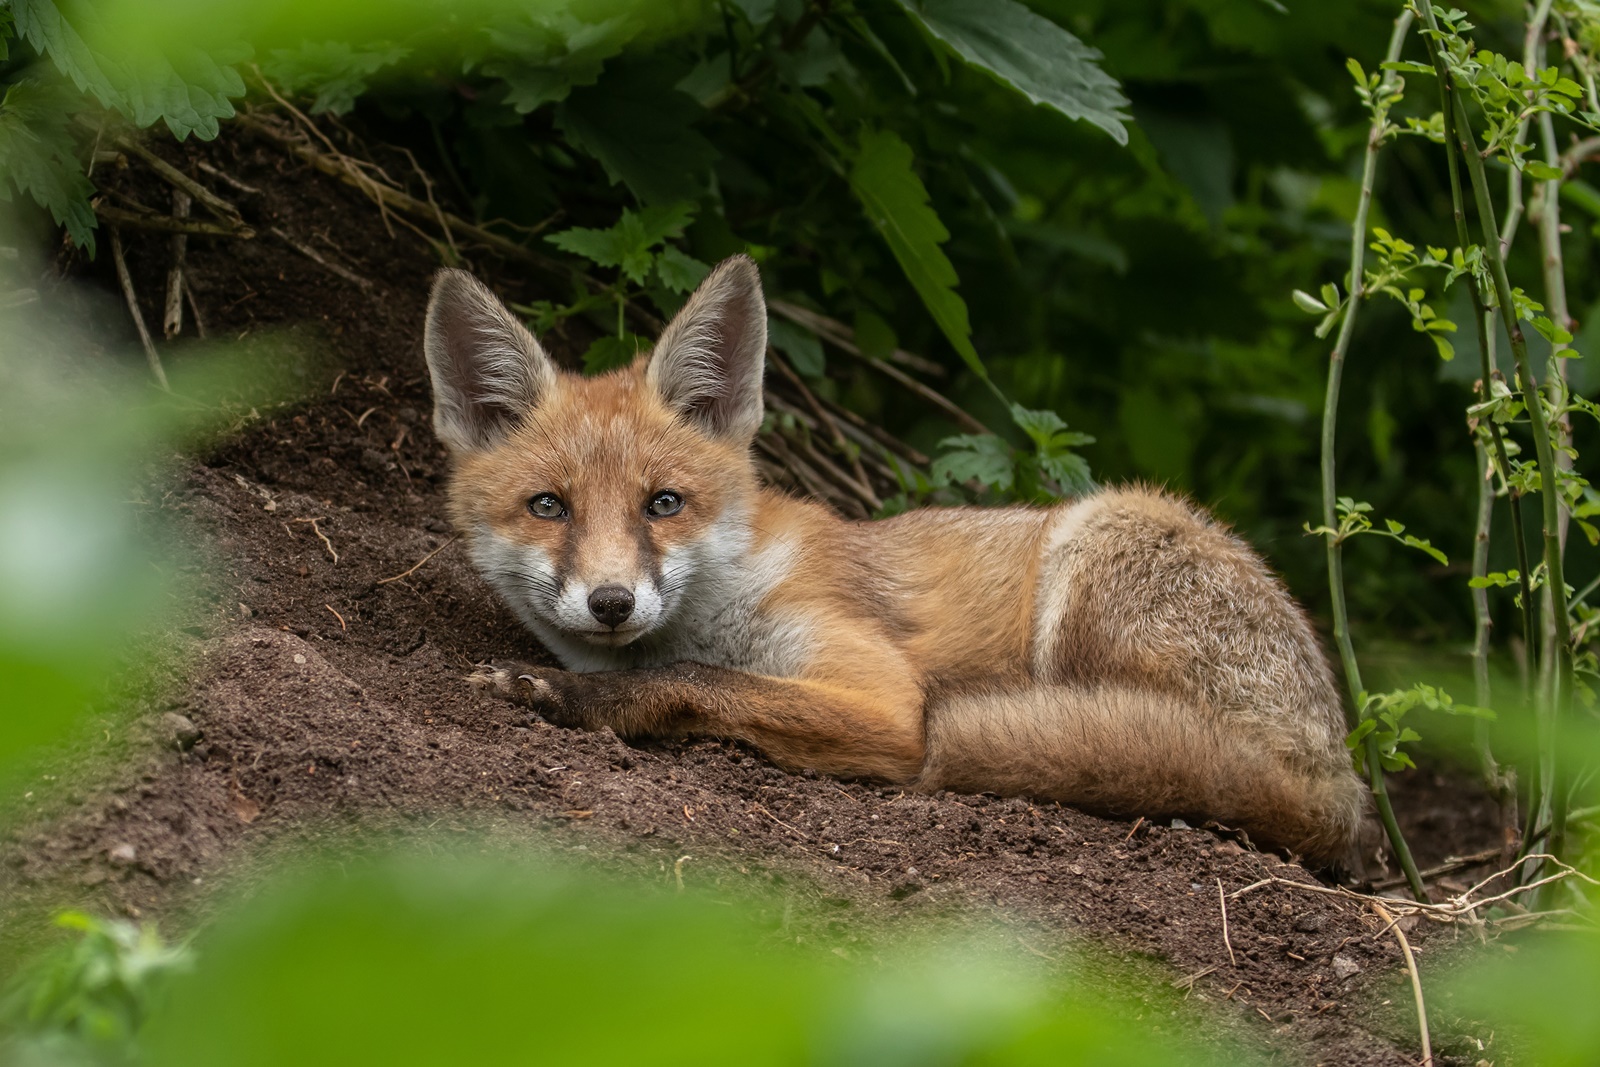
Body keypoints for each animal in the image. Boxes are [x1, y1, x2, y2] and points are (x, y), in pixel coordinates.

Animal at [419, 254, 1369, 863]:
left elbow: (696, 681)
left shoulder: (881, 700)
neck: (721, 598)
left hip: (1097, 547)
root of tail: (1341, 782)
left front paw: (576, 697)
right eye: (550, 506)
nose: (612, 601)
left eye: (664, 504)